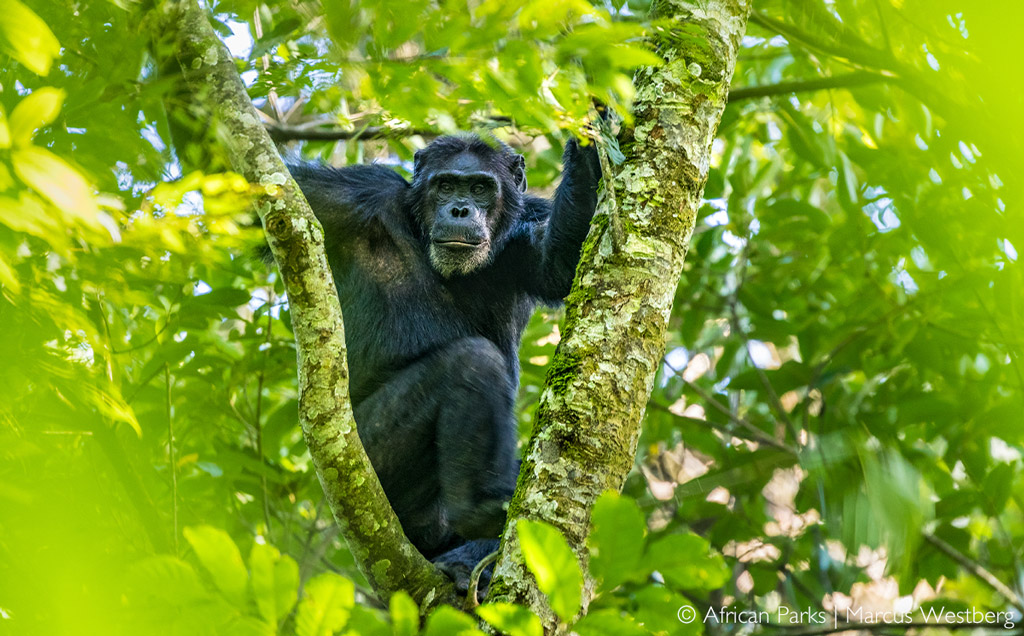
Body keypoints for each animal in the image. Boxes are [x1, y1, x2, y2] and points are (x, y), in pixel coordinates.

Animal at [288, 133, 598, 585]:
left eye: (481, 188)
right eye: (447, 185)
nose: (460, 209)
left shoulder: (532, 219)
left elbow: (559, 264)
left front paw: (593, 141)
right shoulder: (352, 196)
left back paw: (467, 563)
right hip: (365, 458)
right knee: (470, 362)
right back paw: (478, 514)